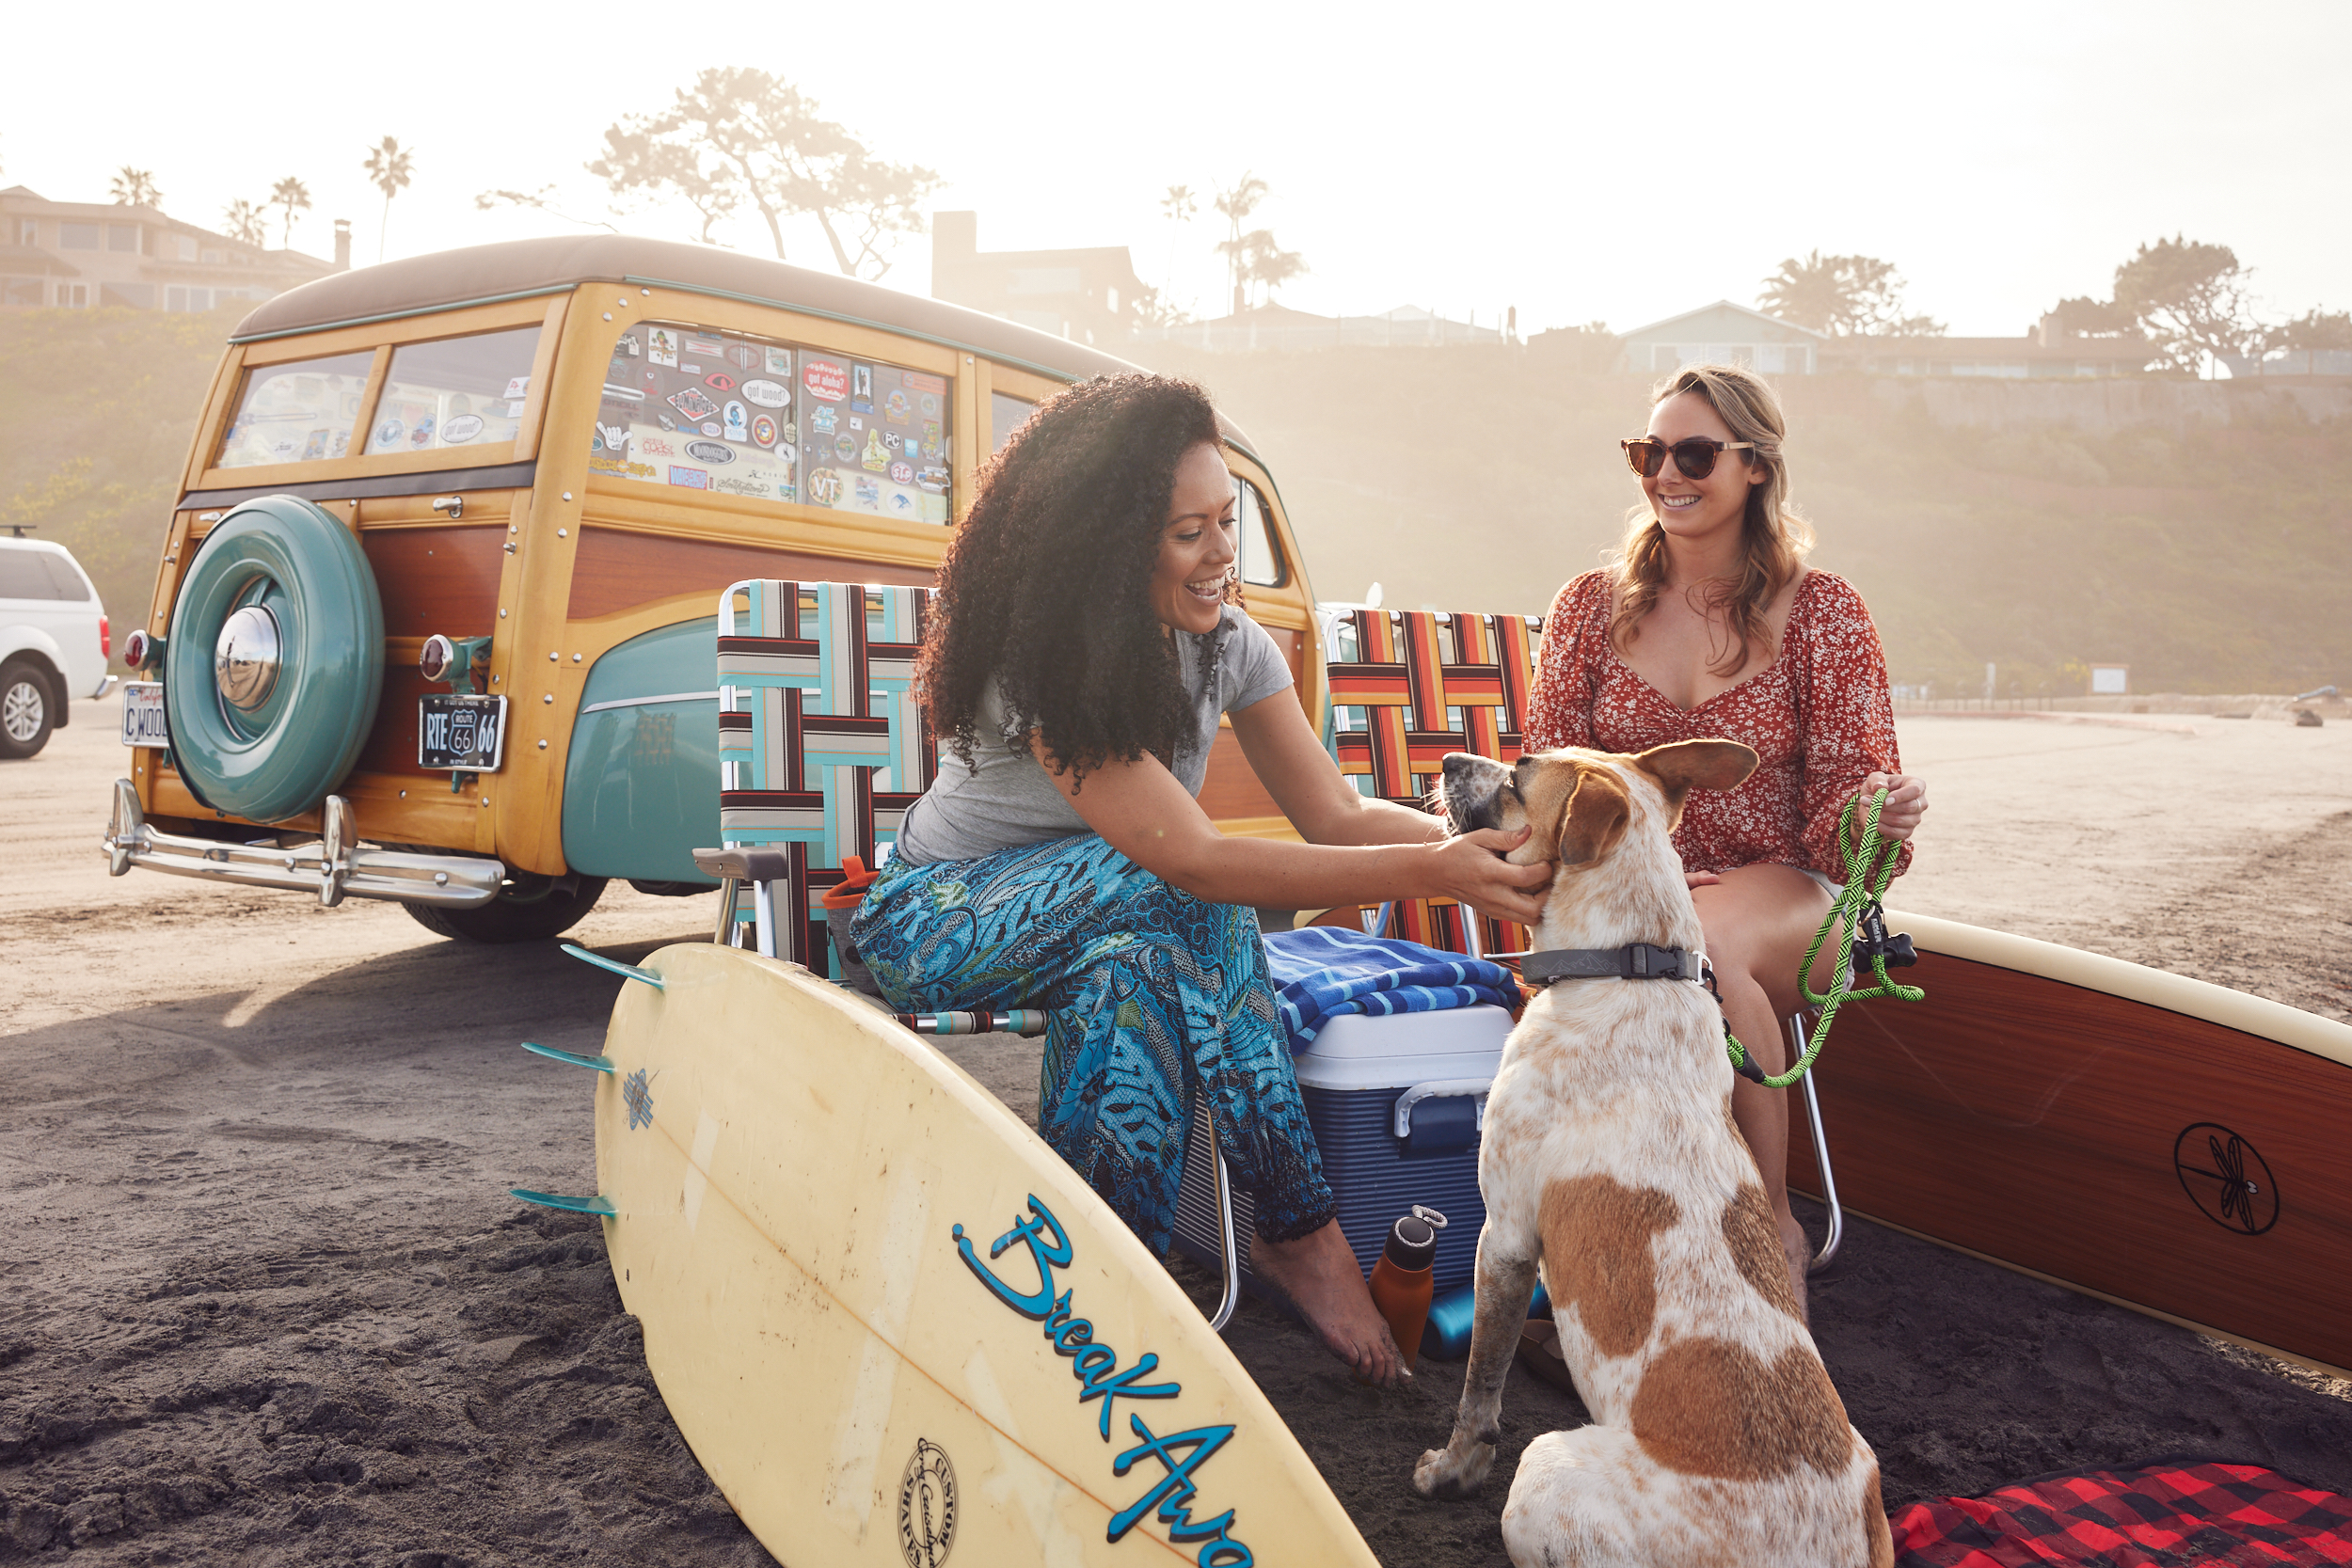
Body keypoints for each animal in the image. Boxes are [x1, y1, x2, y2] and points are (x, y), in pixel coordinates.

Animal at [1411, 747, 1891, 1568]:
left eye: (1519, 773)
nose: (1443, 756)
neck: (1625, 964)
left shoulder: (1504, 1237)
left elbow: (1480, 1385)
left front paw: (1452, 1469)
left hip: (1545, 1466)